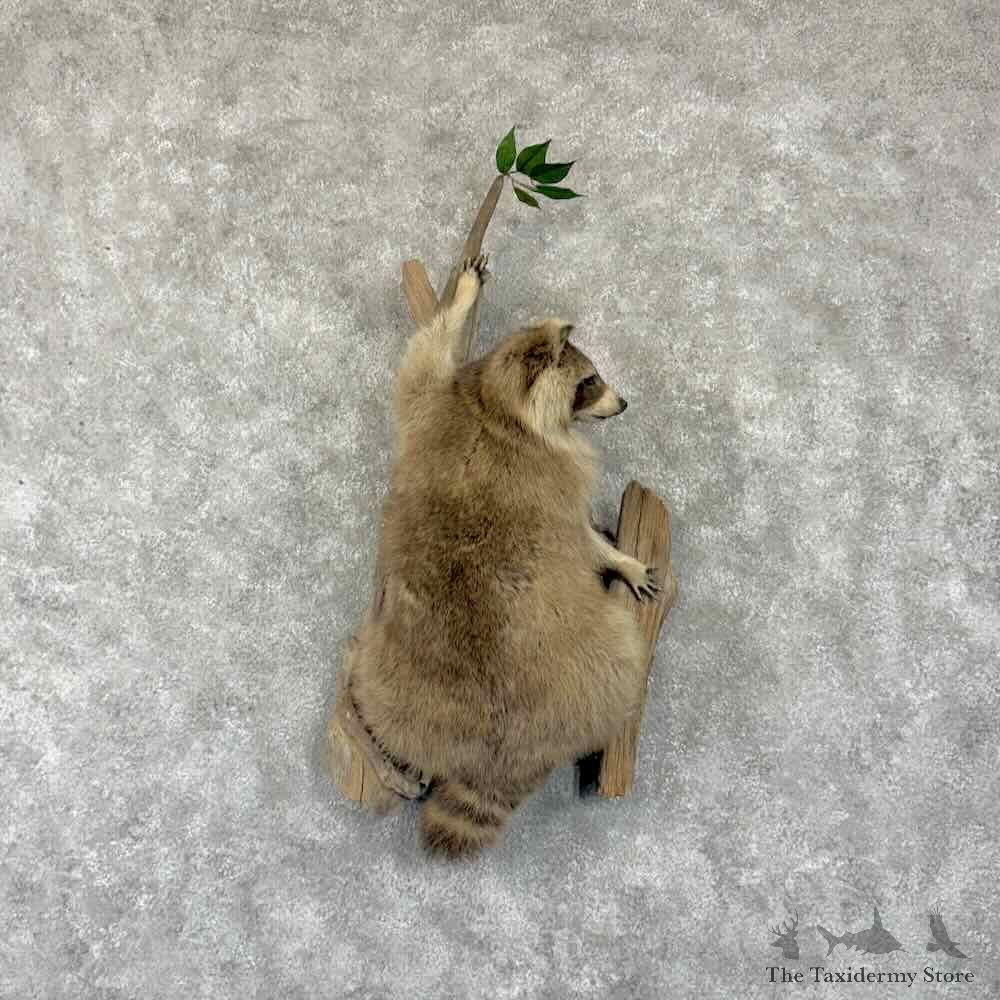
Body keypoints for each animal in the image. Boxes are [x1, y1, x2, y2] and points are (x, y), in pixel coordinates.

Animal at [343, 255, 657, 858]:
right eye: (588, 382)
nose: (625, 403)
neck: (497, 406)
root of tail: (506, 749)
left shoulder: (444, 407)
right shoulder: (465, 419)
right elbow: (421, 358)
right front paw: (618, 558)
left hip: (402, 695)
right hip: (600, 653)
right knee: (623, 642)